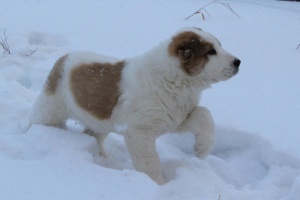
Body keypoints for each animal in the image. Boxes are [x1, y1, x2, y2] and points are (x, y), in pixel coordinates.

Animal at [29, 27, 239, 184]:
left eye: (219, 46)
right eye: (210, 52)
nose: (238, 62)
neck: (175, 80)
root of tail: (64, 57)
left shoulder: (175, 118)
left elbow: (203, 113)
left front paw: (203, 148)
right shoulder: (140, 132)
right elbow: (150, 163)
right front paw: (159, 185)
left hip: (102, 121)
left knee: (92, 135)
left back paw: (106, 159)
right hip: (51, 108)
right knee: (35, 121)